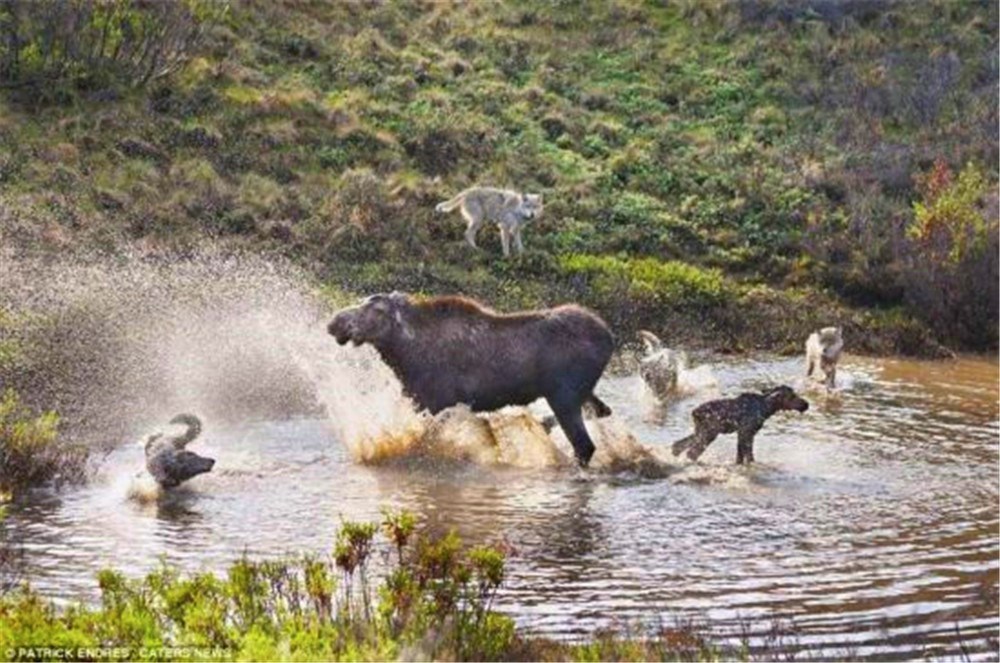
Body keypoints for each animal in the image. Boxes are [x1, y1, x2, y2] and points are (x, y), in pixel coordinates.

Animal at [328, 294, 612, 470]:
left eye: (375, 309)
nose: (335, 322)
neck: (403, 355)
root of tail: (609, 337)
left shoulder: (436, 404)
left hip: (564, 395)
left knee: (584, 445)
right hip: (578, 393)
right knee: (602, 413)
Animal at [668, 386, 808, 464]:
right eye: (792, 396)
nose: (806, 404)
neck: (766, 408)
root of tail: (694, 412)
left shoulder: (745, 433)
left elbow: (741, 457)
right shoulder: (746, 432)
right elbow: (747, 456)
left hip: (700, 432)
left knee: (678, 445)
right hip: (709, 433)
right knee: (691, 452)